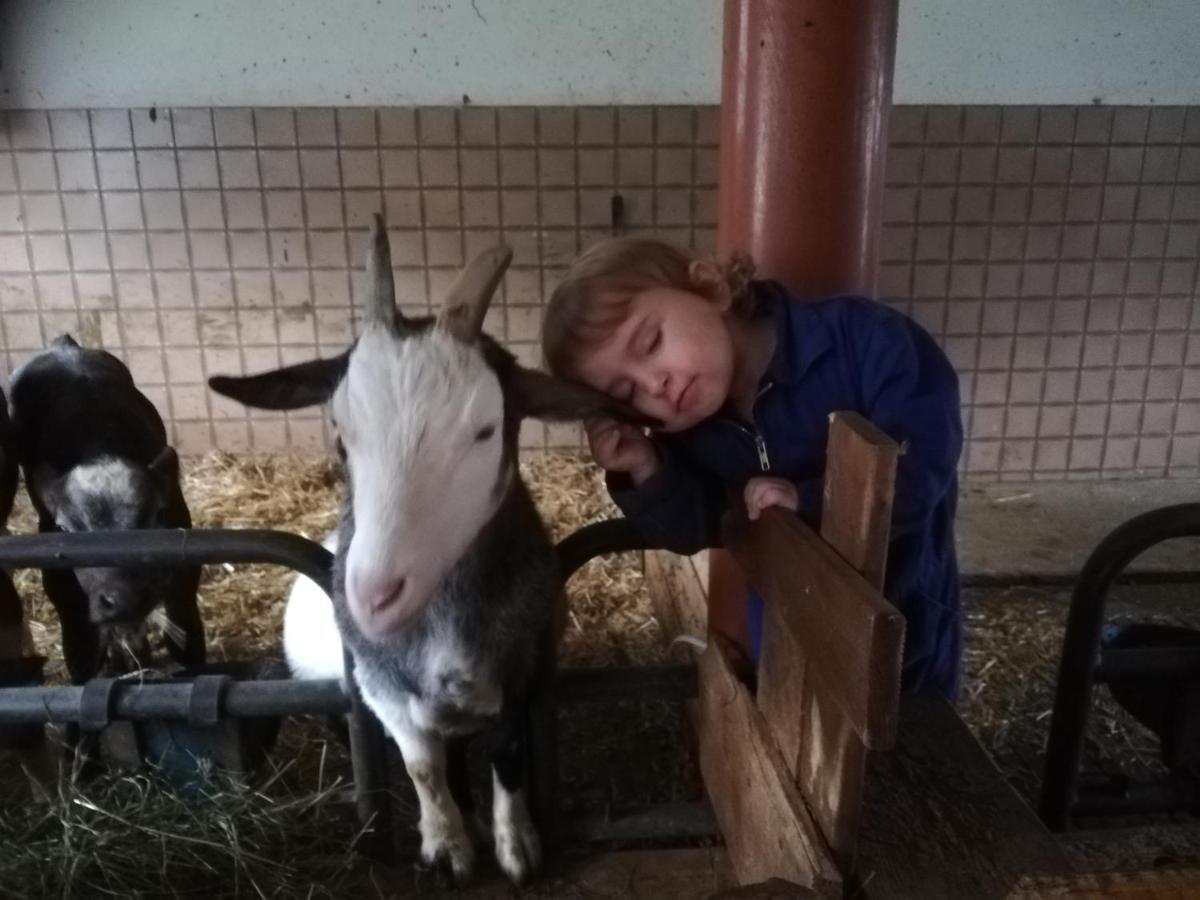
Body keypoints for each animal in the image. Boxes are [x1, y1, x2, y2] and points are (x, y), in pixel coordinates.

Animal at [211, 218, 652, 888]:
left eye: (485, 430)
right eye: (340, 431)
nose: (373, 596)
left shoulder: (523, 675)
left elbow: (507, 754)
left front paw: (516, 845)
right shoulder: (382, 690)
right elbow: (423, 766)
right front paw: (448, 848)